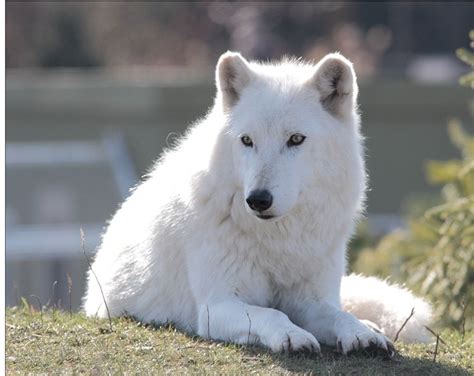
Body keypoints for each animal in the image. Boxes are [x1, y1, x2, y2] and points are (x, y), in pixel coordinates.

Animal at [83, 51, 432, 354]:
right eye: (247, 141)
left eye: (295, 140)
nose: (258, 200)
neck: (277, 239)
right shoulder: (217, 306)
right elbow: (272, 313)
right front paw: (293, 336)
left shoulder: (312, 300)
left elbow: (338, 314)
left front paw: (362, 334)